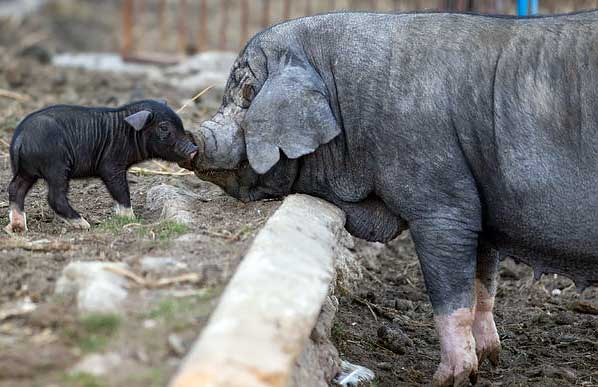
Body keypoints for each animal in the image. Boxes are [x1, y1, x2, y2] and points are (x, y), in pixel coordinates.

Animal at [185, 10, 598, 386]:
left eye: (247, 92)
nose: (195, 136)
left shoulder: (441, 198)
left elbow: (451, 295)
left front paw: (447, 379)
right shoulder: (478, 200)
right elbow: (483, 285)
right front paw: (490, 362)